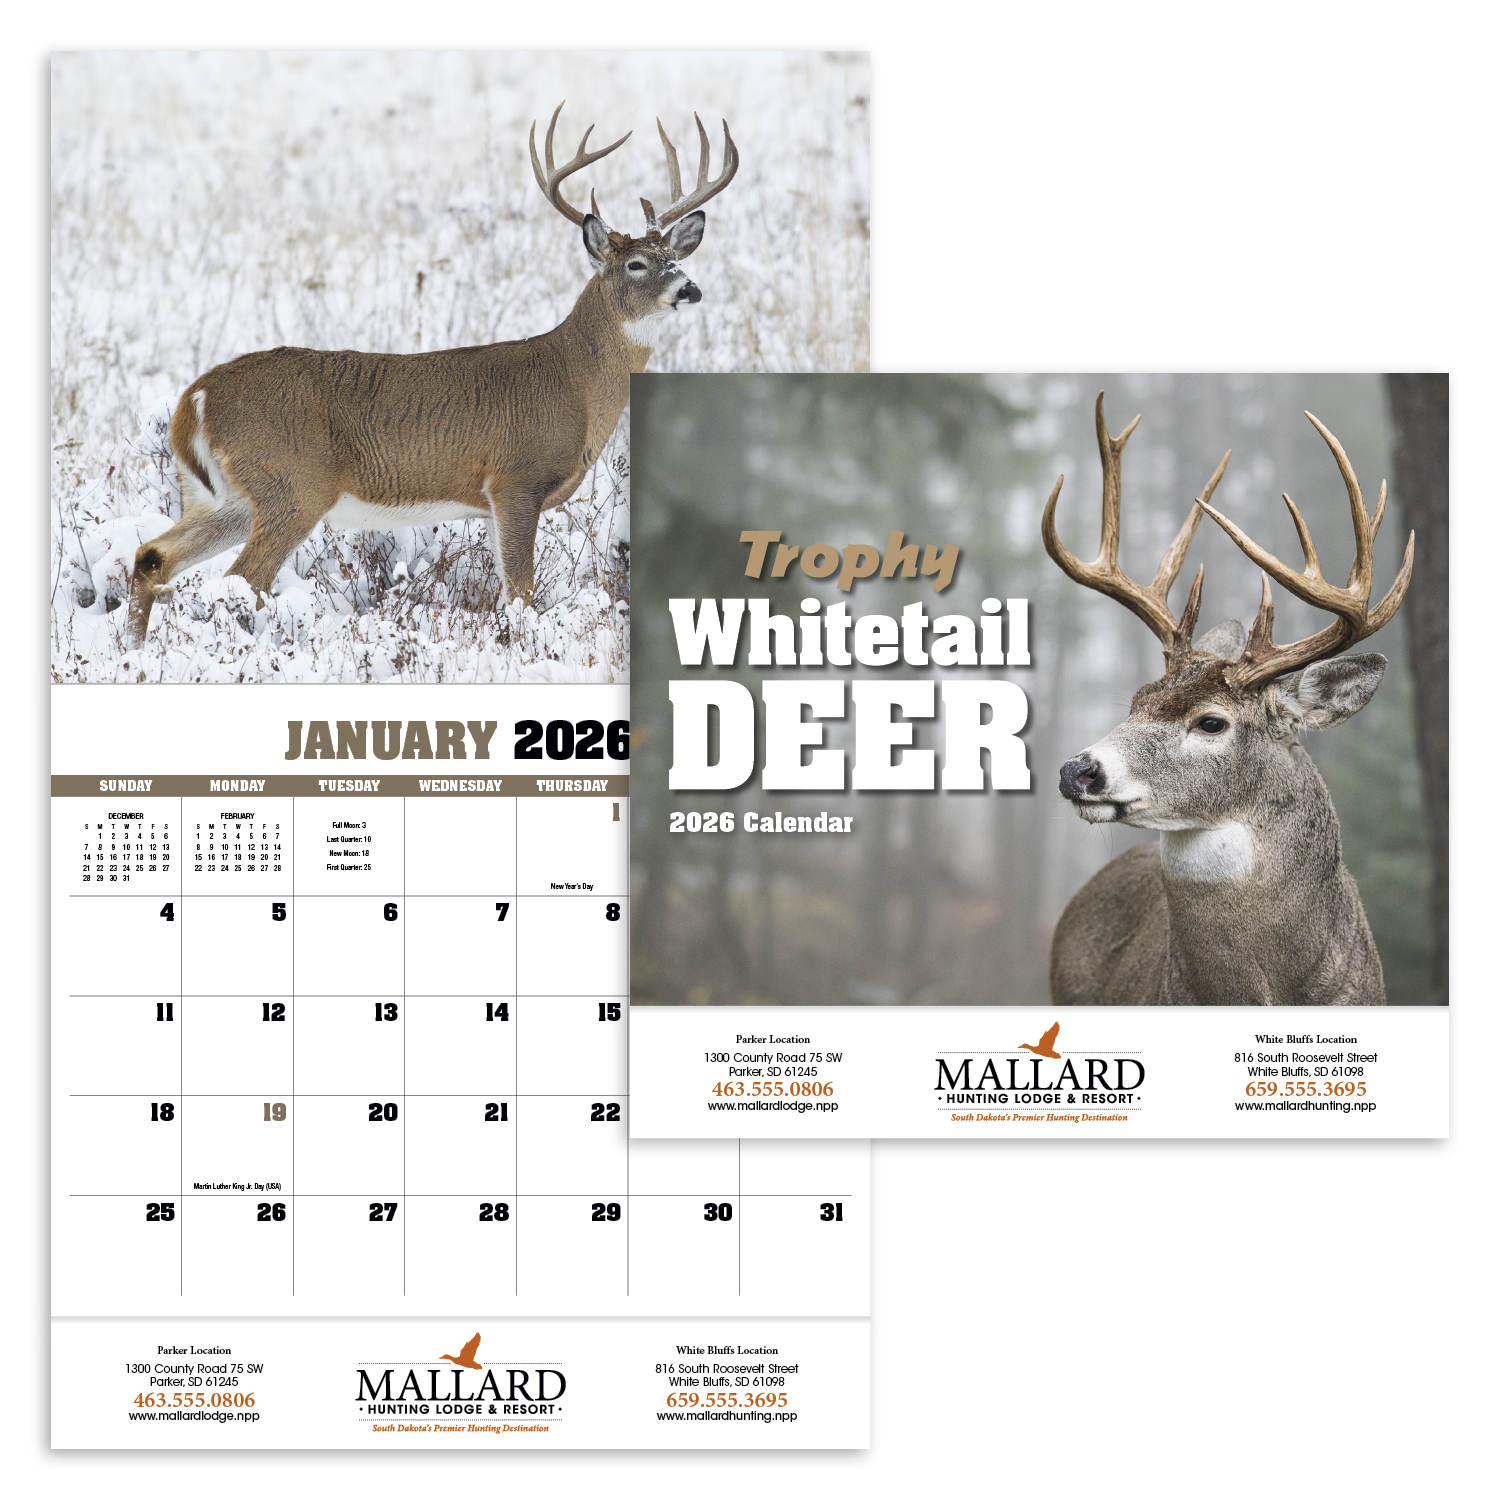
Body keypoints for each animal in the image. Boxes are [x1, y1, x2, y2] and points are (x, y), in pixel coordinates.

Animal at [124, 102, 739, 647]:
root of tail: (196, 398)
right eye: (635, 263)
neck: (574, 382)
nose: (690, 289)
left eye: (676, 258)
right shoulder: (515, 478)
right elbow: (521, 595)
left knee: (153, 555)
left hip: (221, 497)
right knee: (241, 579)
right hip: (292, 485)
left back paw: (134, 649)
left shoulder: (493, 501)